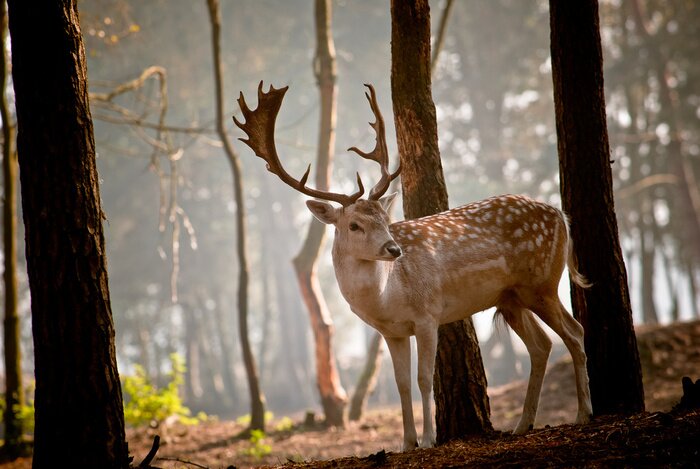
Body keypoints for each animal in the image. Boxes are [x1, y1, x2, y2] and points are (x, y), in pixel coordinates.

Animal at [234, 81, 593, 450]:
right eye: (354, 225)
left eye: (385, 218)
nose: (394, 249)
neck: (386, 298)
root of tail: (561, 214)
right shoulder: (392, 332)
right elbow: (401, 382)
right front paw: (407, 442)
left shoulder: (428, 314)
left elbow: (423, 378)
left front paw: (429, 438)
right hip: (510, 298)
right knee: (542, 345)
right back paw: (523, 425)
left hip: (541, 282)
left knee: (574, 332)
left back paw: (582, 414)